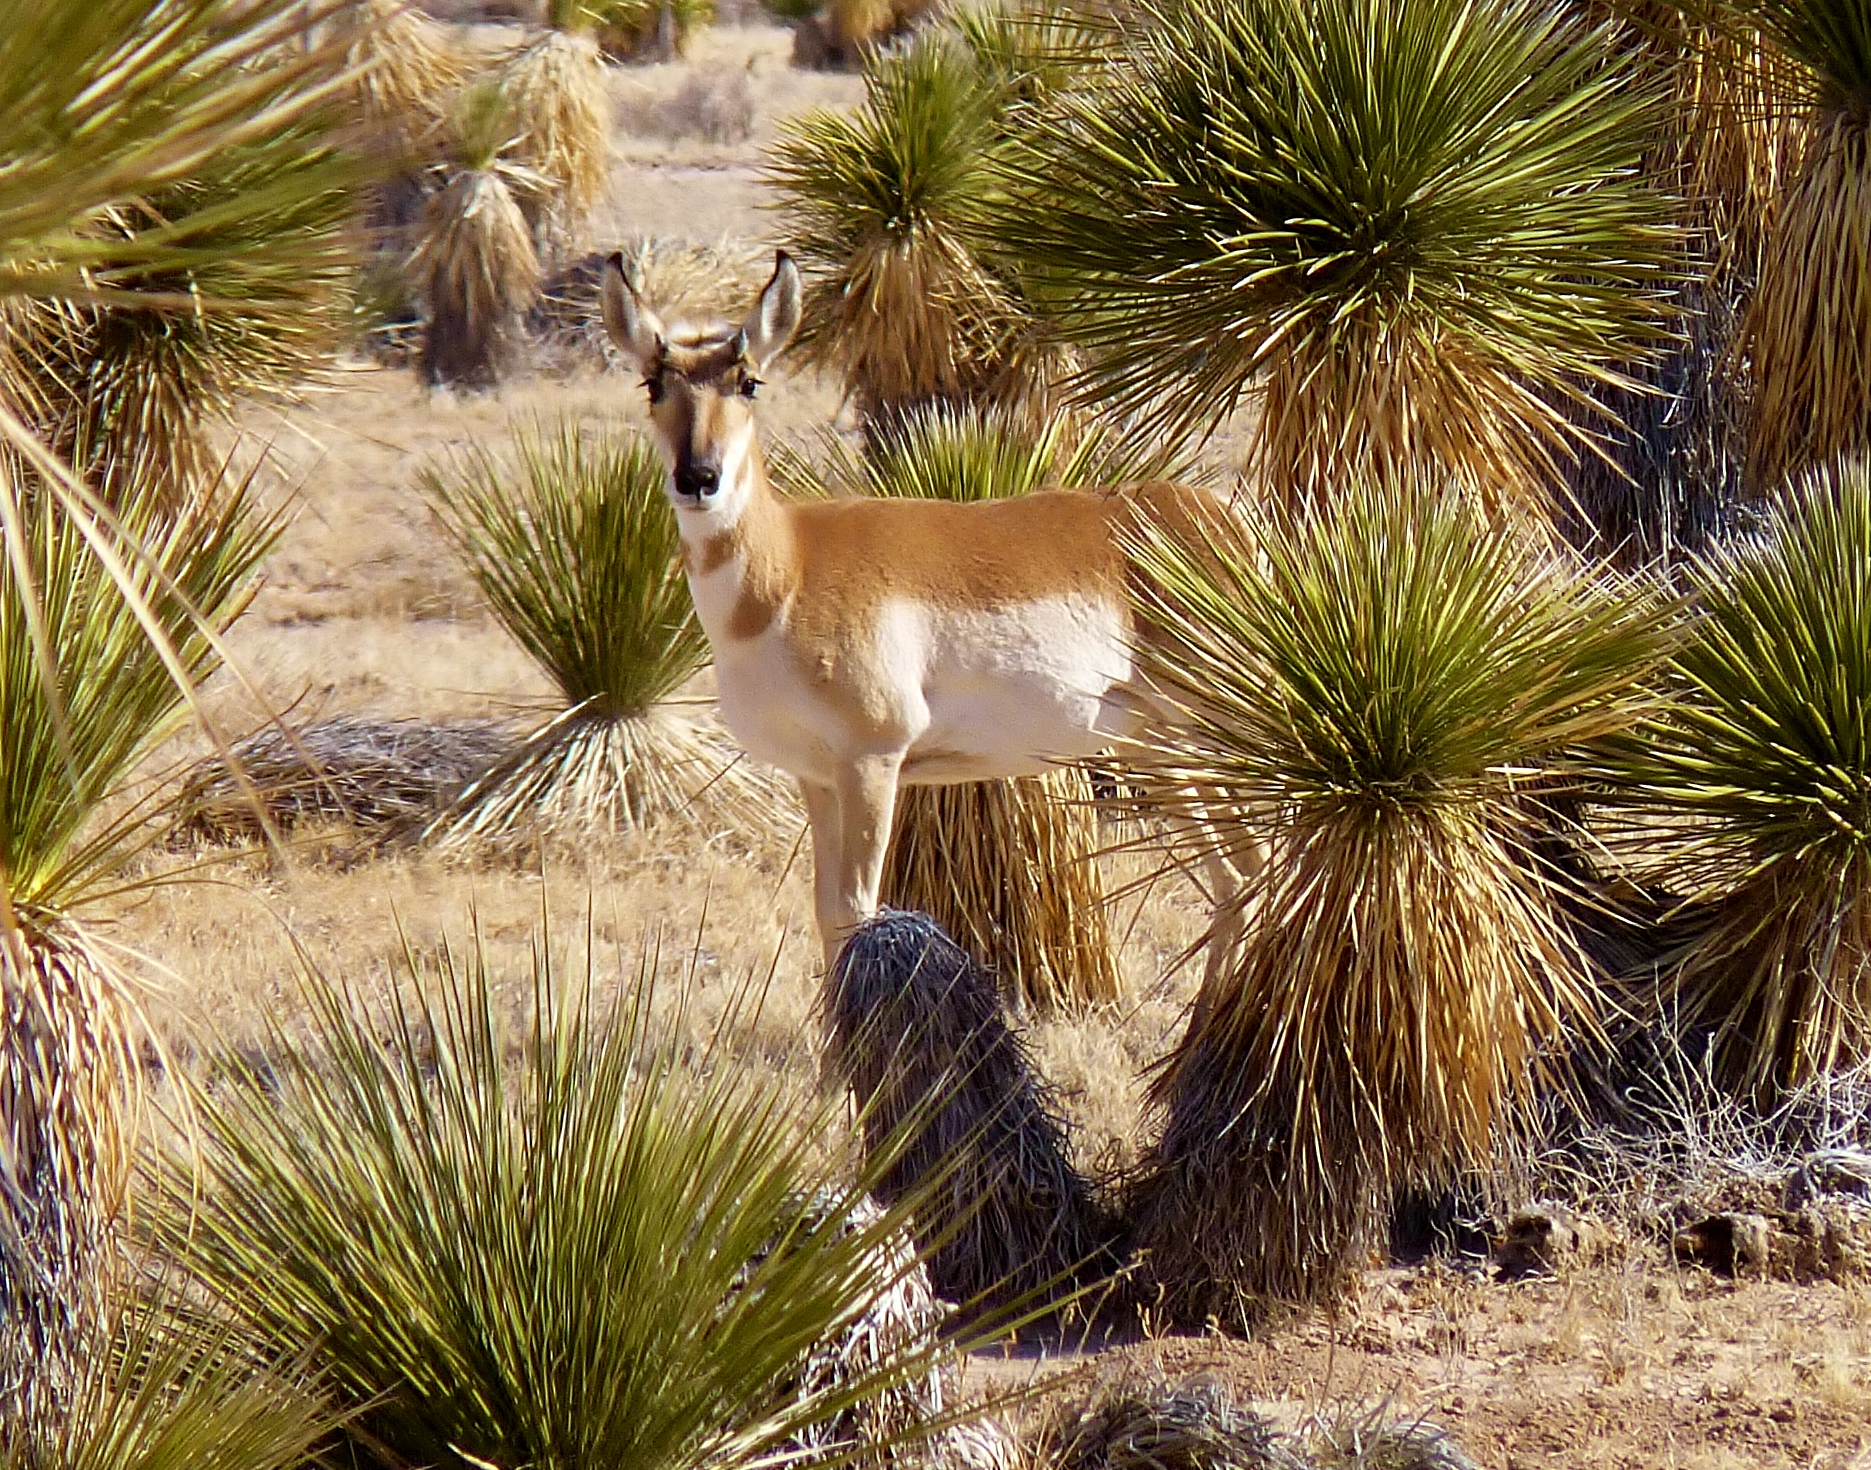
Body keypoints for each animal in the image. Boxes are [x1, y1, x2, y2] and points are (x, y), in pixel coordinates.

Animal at [602, 248, 1242, 965]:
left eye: (748, 383)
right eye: (653, 384)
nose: (698, 478)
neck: (789, 569)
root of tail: (1215, 517)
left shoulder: (872, 763)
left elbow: (857, 909)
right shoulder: (816, 777)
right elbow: (826, 915)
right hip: (1161, 752)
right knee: (1238, 877)